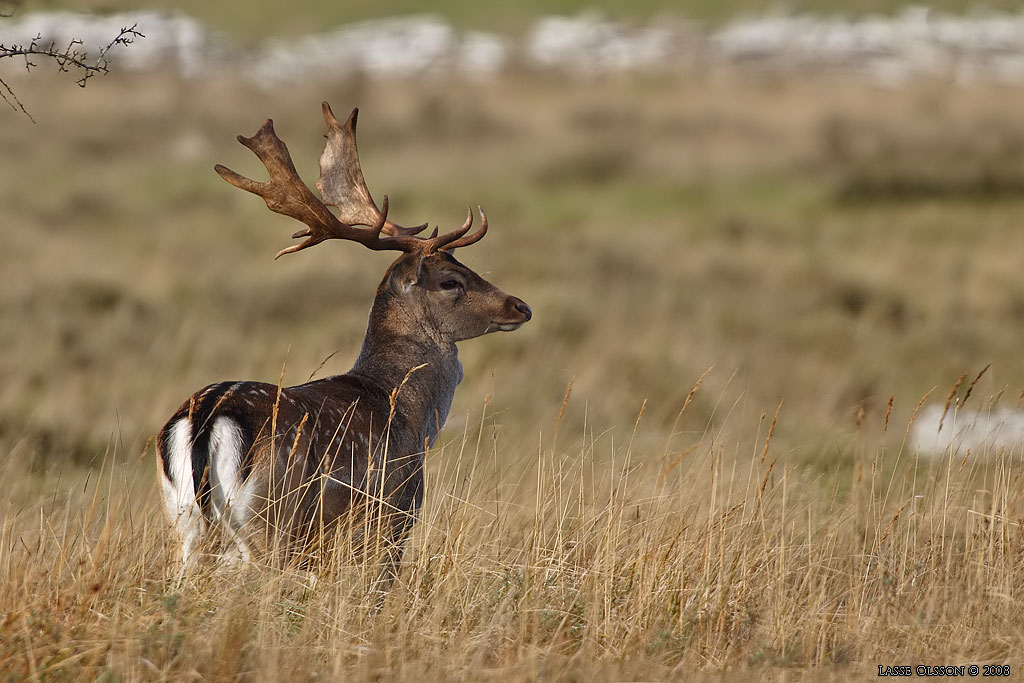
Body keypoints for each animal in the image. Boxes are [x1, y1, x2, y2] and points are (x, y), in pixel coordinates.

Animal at [157, 102, 536, 589]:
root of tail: (205, 415)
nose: (520, 306)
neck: (409, 415)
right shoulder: (395, 507)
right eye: (451, 280)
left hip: (184, 521)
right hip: (272, 516)